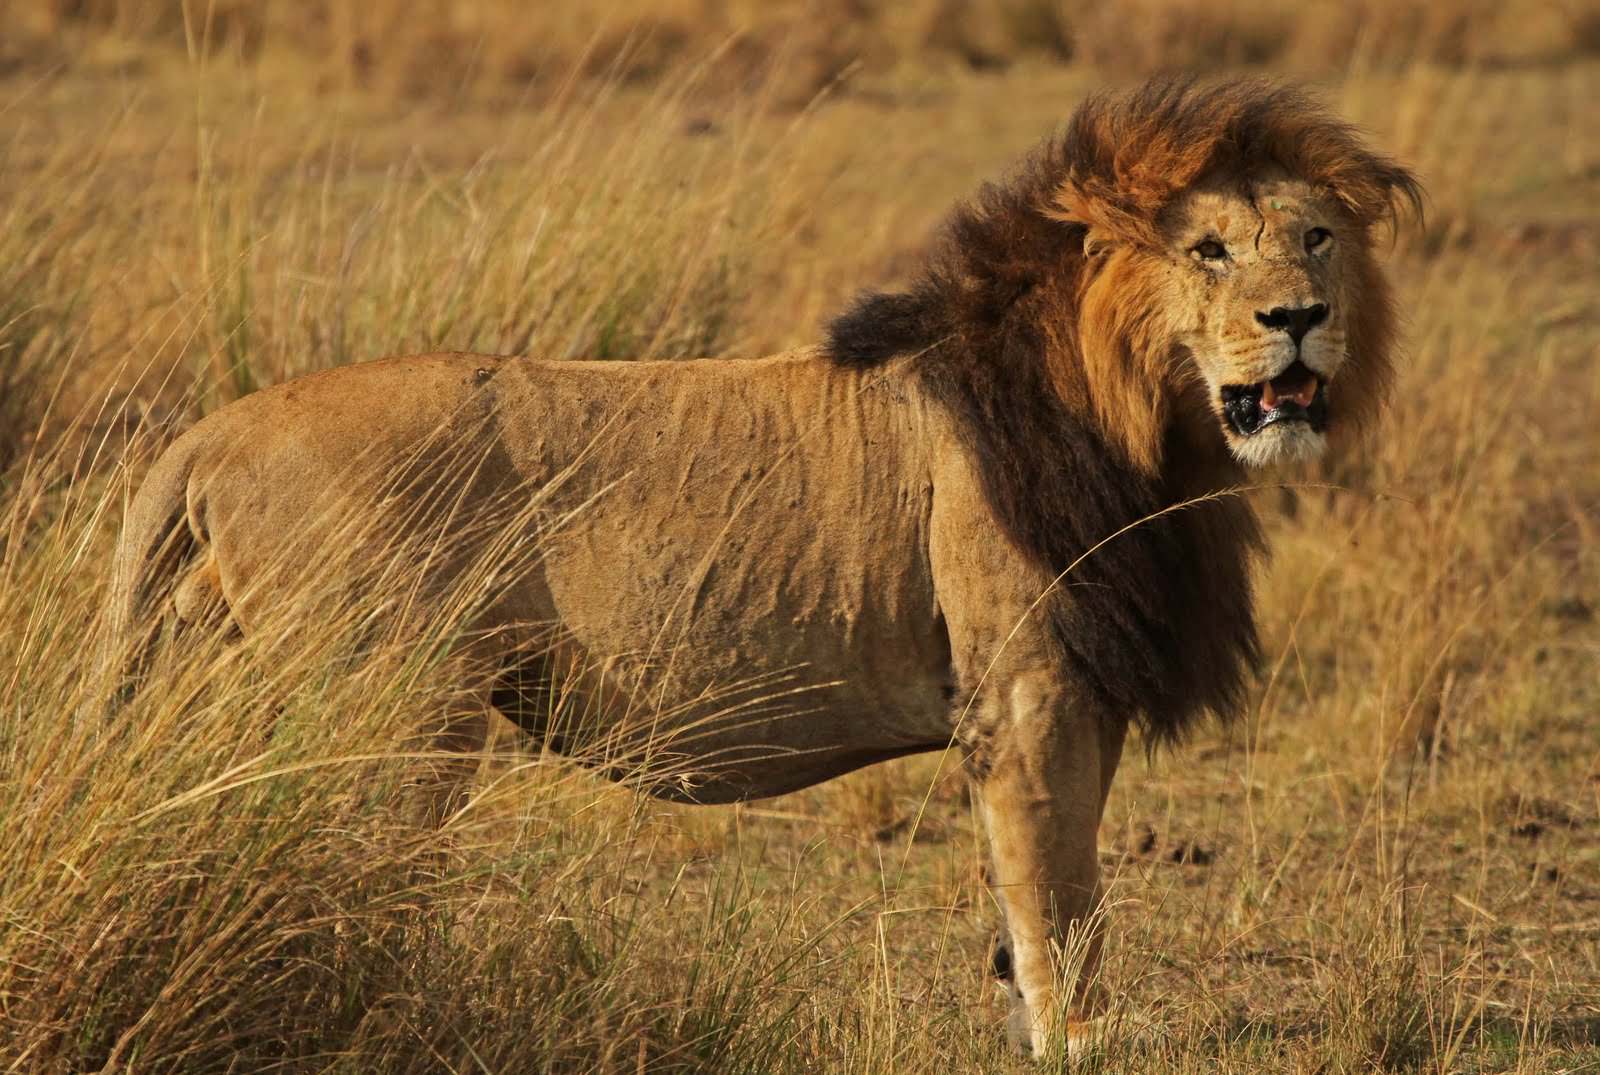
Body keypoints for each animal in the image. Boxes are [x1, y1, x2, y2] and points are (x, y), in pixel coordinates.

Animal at [103, 77, 1419, 1056]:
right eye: (1209, 251)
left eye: (1315, 239)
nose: (1298, 318)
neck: (1152, 426)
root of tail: (207, 432)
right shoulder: (1026, 688)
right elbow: (1057, 891)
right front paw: (1081, 1041)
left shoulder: (1074, 686)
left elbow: (1042, 893)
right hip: (393, 710)